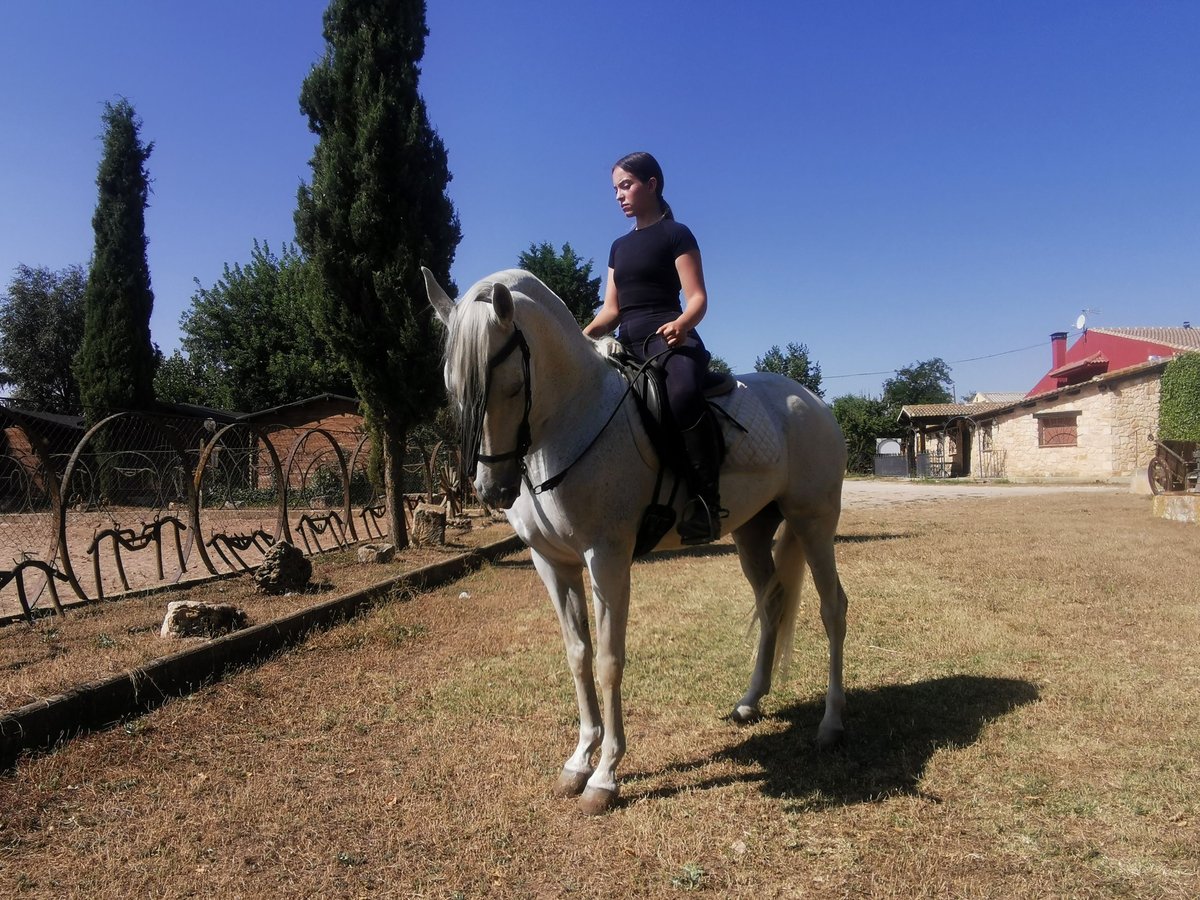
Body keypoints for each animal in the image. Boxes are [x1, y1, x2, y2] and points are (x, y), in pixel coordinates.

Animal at [427, 267, 849, 816]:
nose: (494, 491)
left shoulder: (606, 559)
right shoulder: (551, 562)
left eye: (515, 386)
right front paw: (578, 761)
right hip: (752, 532)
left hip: (814, 522)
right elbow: (577, 654)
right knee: (771, 603)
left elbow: (609, 661)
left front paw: (605, 776)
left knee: (832, 608)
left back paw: (831, 723)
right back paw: (749, 702)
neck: (572, 418)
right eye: (451, 387)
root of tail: (812, 400)